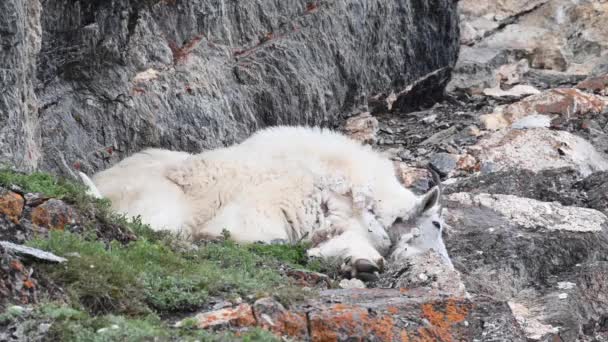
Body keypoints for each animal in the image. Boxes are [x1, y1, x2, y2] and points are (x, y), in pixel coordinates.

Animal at [79, 126, 452, 280]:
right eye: (436, 224)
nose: (447, 266)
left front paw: (358, 263)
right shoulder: (275, 202)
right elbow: (243, 230)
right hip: (160, 200)